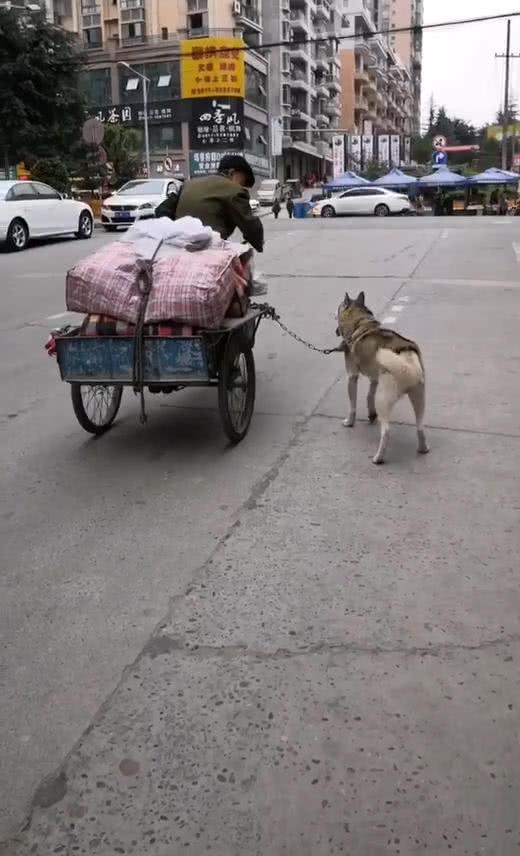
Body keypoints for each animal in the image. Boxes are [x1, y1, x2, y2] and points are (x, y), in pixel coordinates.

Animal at [338, 292, 430, 468]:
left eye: (338, 309)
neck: (360, 321)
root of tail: (406, 362)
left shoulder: (352, 376)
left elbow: (353, 405)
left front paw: (349, 422)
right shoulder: (375, 379)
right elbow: (369, 396)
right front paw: (370, 413)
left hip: (384, 399)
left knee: (386, 431)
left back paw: (378, 458)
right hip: (419, 397)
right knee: (420, 426)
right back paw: (423, 448)